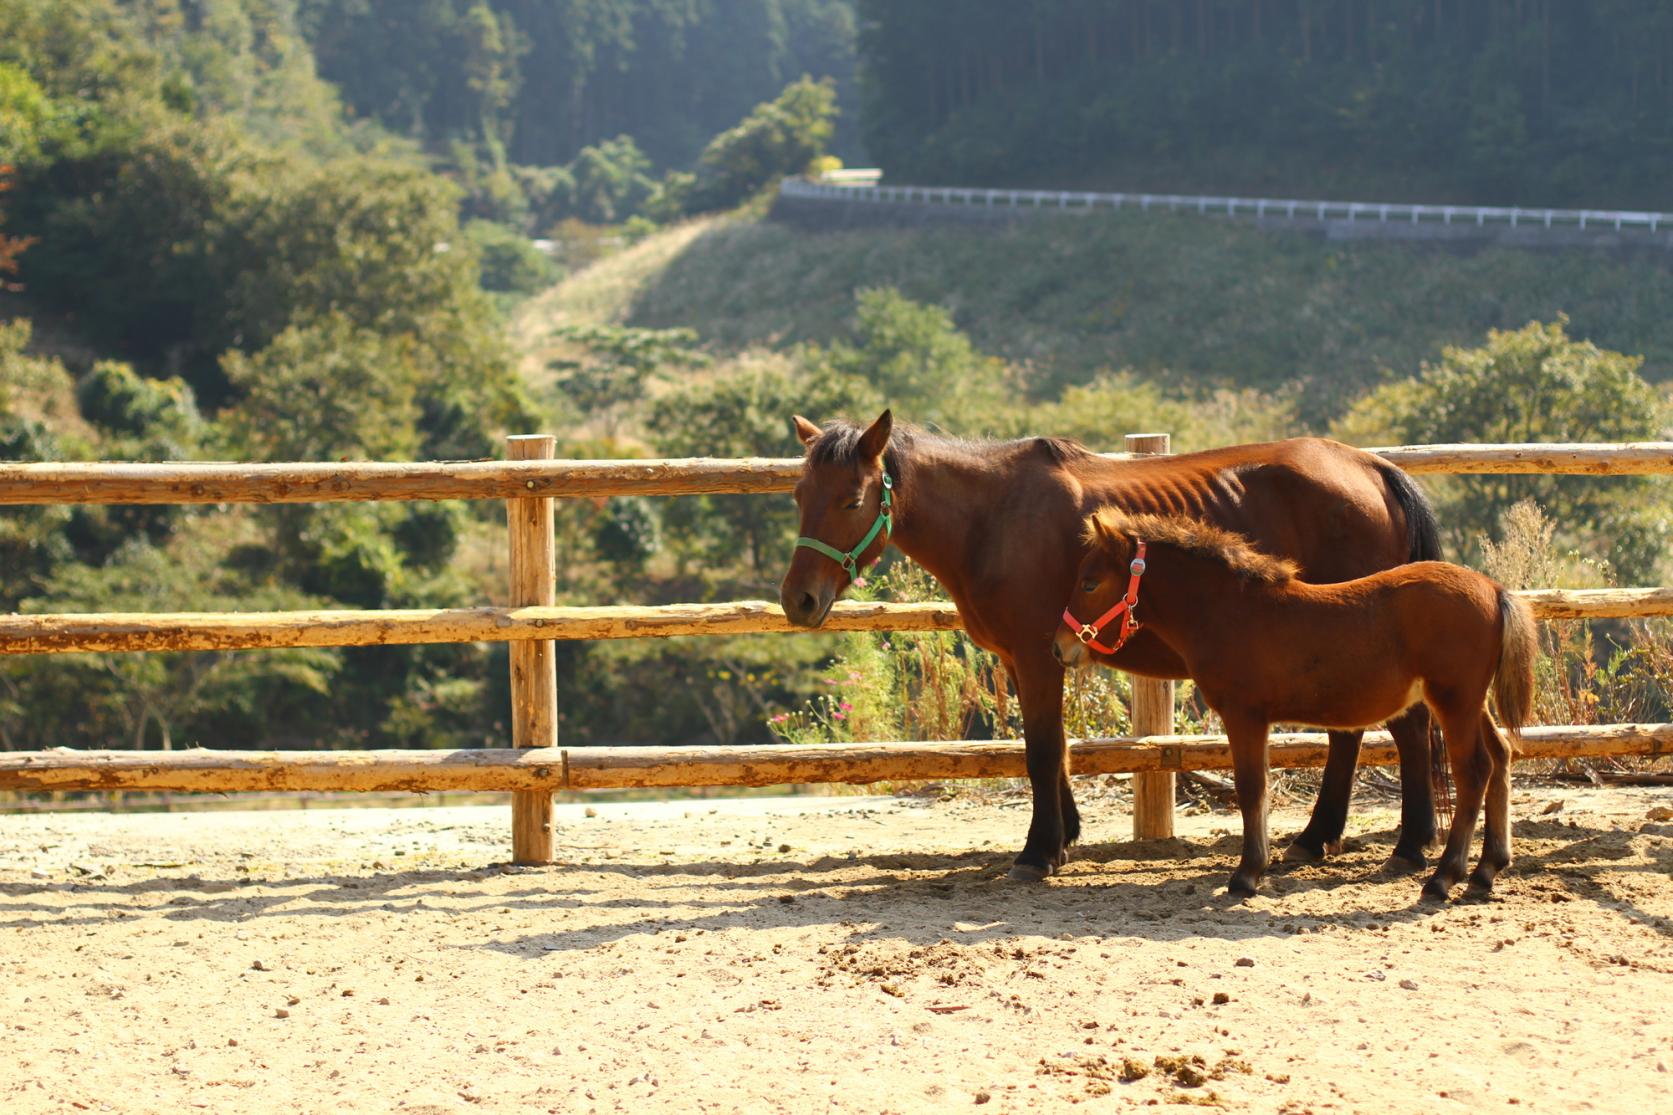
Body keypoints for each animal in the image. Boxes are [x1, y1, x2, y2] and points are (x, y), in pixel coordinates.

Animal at [776, 408, 1445, 877]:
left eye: (852, 499)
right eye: (799, 496)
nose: (798, 600)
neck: (995, 517)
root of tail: (1372, 468)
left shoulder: (1035, 655)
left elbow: (1043, 751)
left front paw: (1039, 851)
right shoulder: (1030, 657)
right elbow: (1054, 751)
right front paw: (1064, 834)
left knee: (1405, 730)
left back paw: (1410, 846)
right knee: (1351, 733)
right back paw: (1316, 838)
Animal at [1050, 508, 1532, 897]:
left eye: (1089, 583)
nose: (1060, 647)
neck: (1229, 611)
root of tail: (1494, 590)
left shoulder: (1244, 714)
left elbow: (1250, 788)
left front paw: (1246, 875)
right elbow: (1259, 787)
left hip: (1454, 701)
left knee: (1474, 770)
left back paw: (1444, 877)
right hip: (1472, 703)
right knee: (1501, 756)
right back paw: (1486, 870)